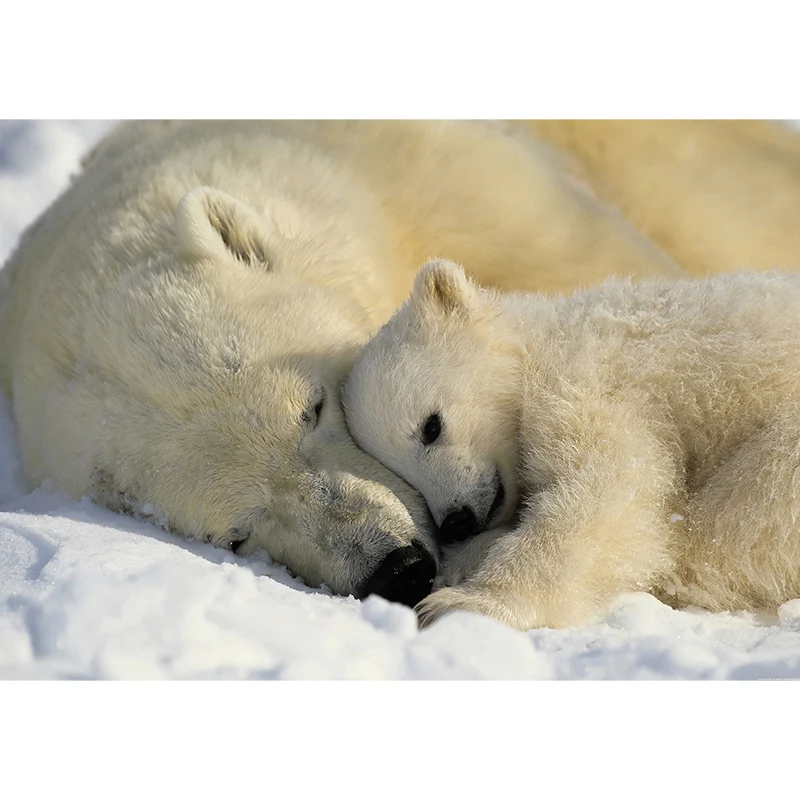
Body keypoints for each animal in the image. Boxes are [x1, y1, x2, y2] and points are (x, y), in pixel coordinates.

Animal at [342, 259, 800, 630]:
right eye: (402, 475)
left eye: (431, 427)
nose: (456, 521)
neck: (545, 339)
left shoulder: (584, 380)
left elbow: (606, 491)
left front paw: (460, 604)